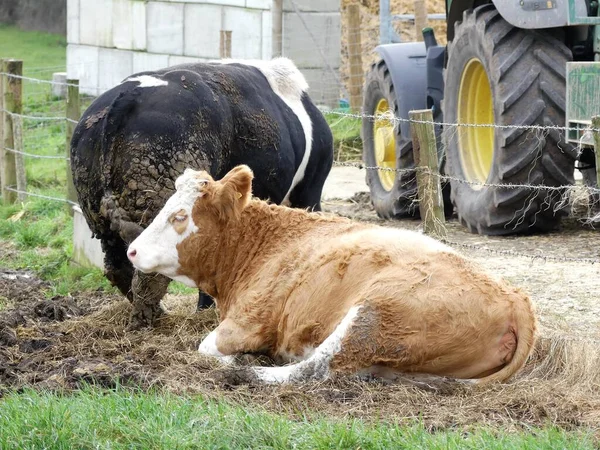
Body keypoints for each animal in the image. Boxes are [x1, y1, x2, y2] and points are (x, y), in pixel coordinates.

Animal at [71, 58, 336, 328]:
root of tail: (126, 96)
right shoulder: (309, 192)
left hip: (98, 213)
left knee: (118, 265)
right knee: (148, 270)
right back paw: (154, 317)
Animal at [127, 165, 540, 384]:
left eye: (180, 216)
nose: (132, 250)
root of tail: (515, 297)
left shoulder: (250, 320)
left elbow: (207, 346)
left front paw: (235, 359)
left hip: (376, 314)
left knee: (320, 367)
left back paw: (251, 372)